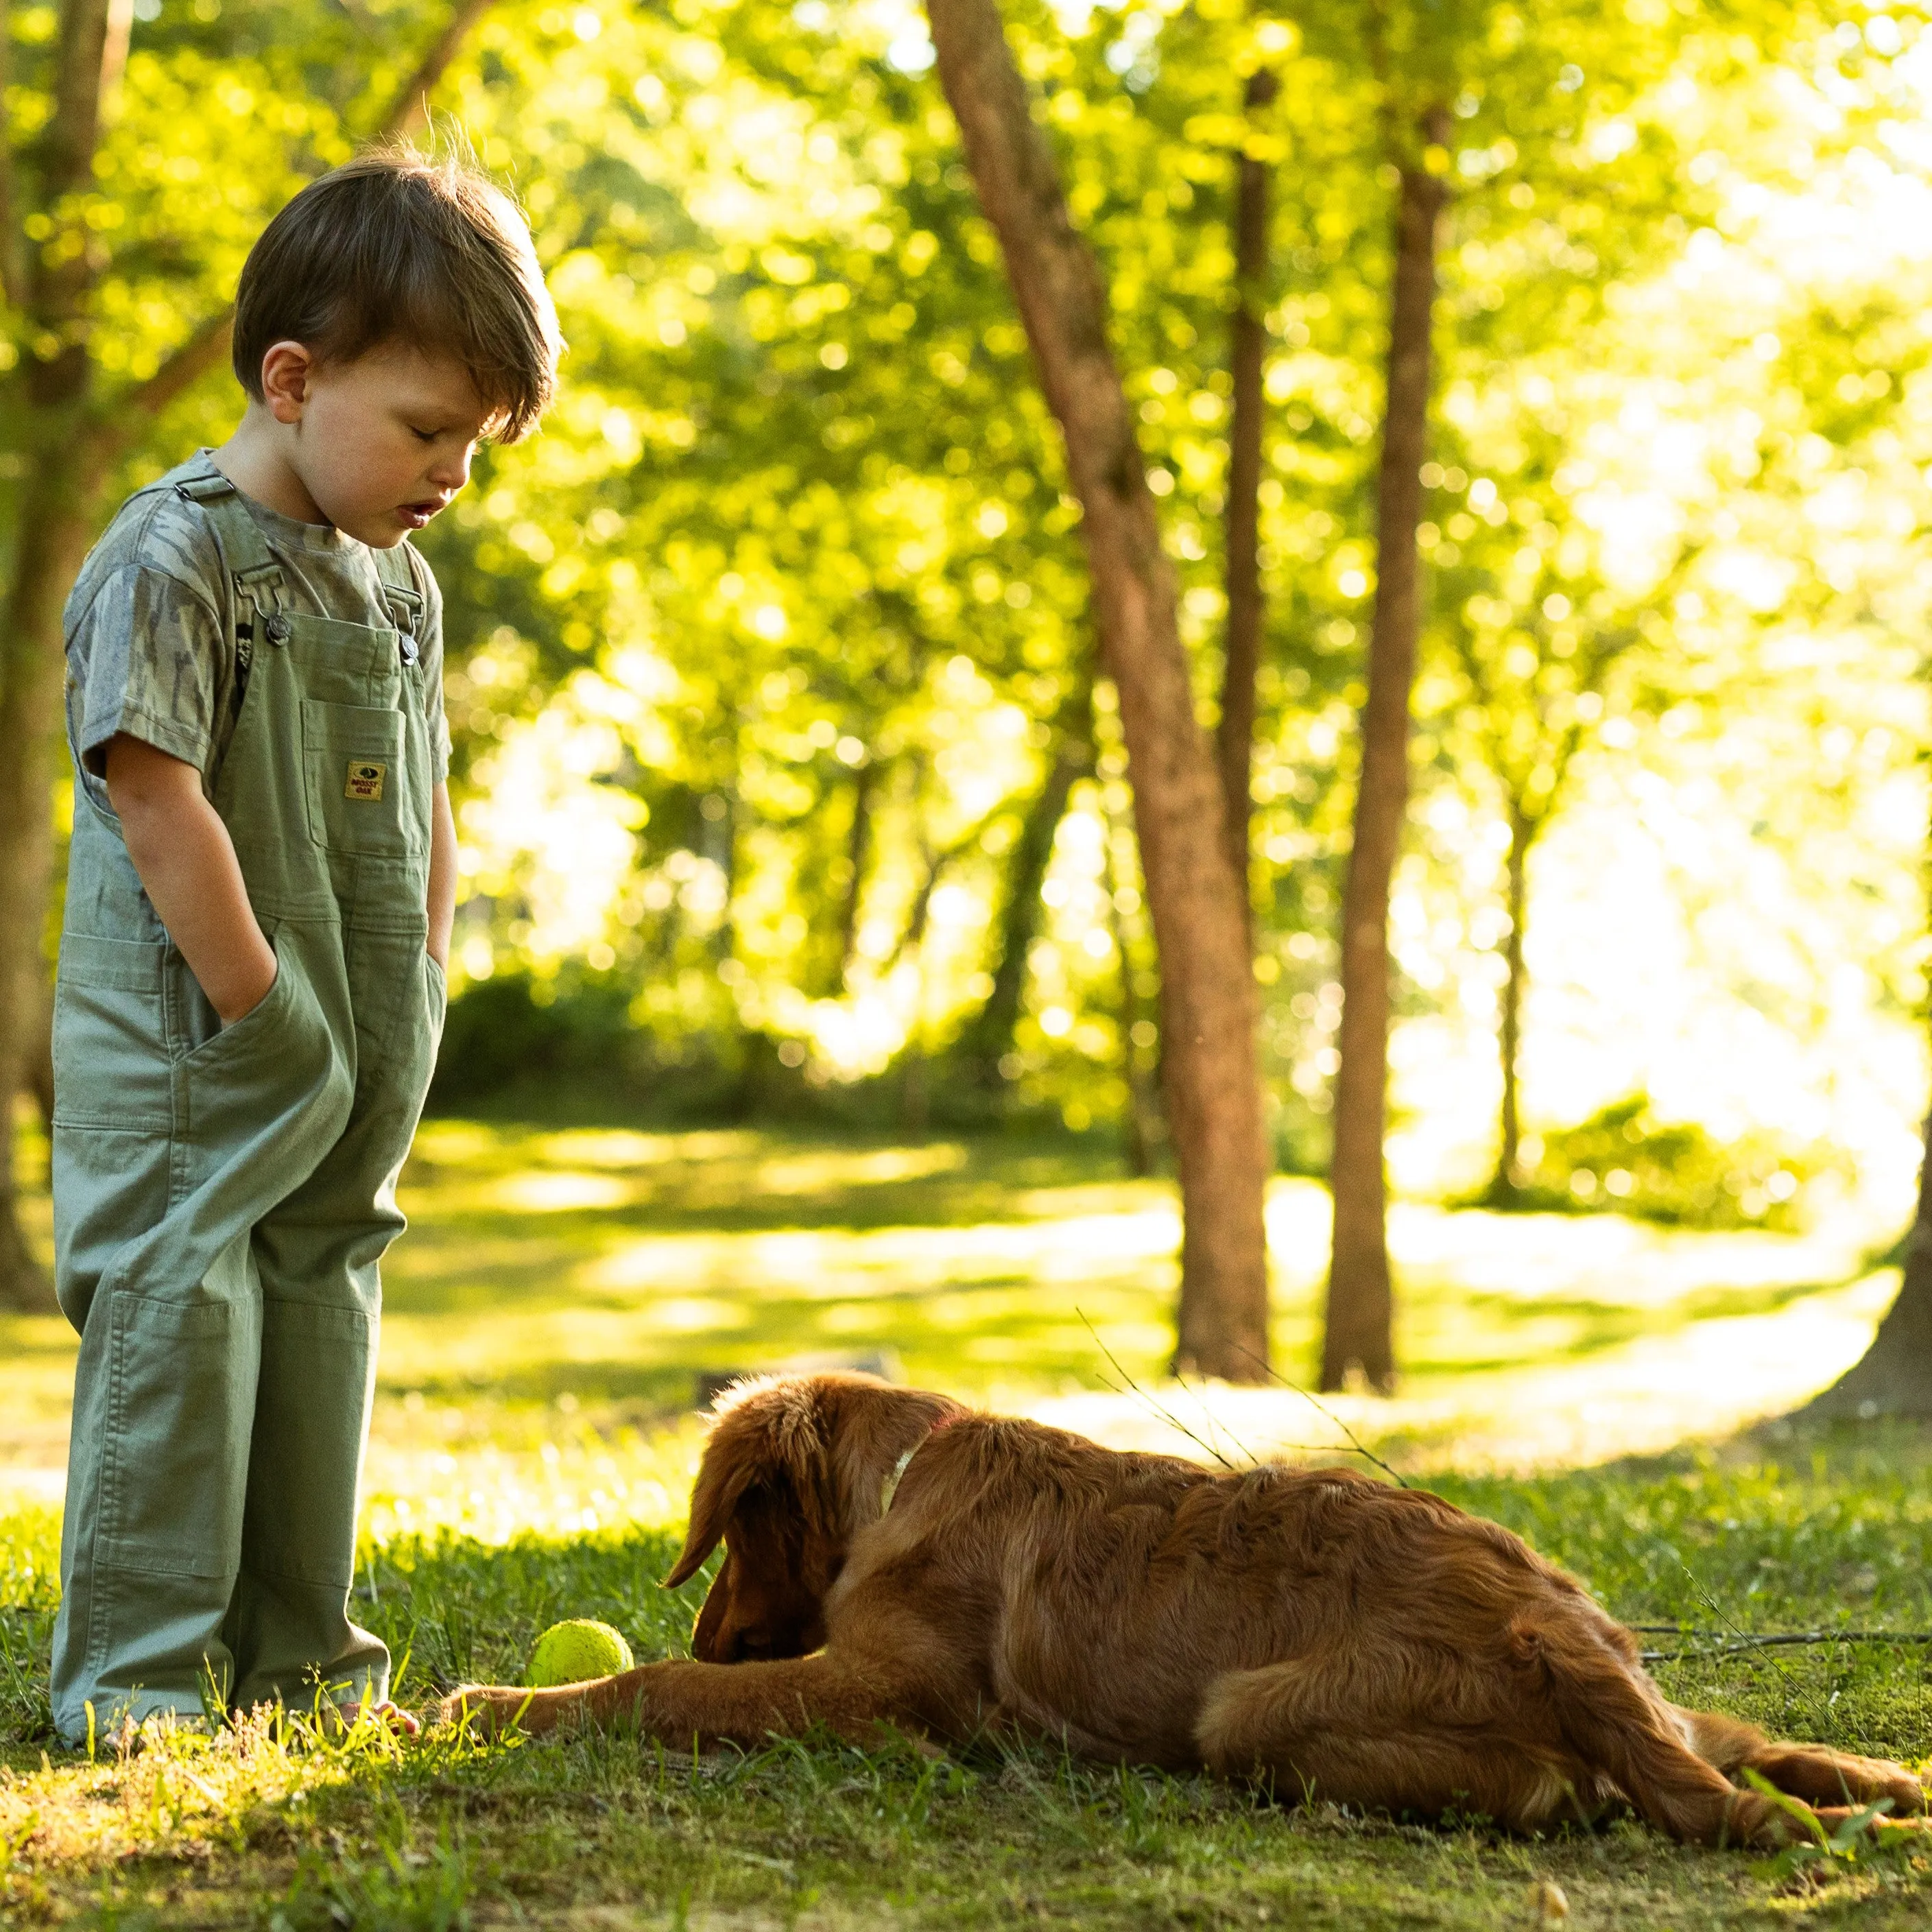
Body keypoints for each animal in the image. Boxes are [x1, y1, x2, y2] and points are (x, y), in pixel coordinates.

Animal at [442, 1368, 1932, 1847]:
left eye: (728, 1532)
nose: (705, 1621)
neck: (909, 1472)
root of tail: (1543, 1624)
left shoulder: (888, 1697)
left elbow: (658, 1690)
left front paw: (492, 1701)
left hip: (1244, 1712)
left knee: (1559, 1784)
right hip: (1645, 1679)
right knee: (1738, 1737)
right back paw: (1885, 1778)